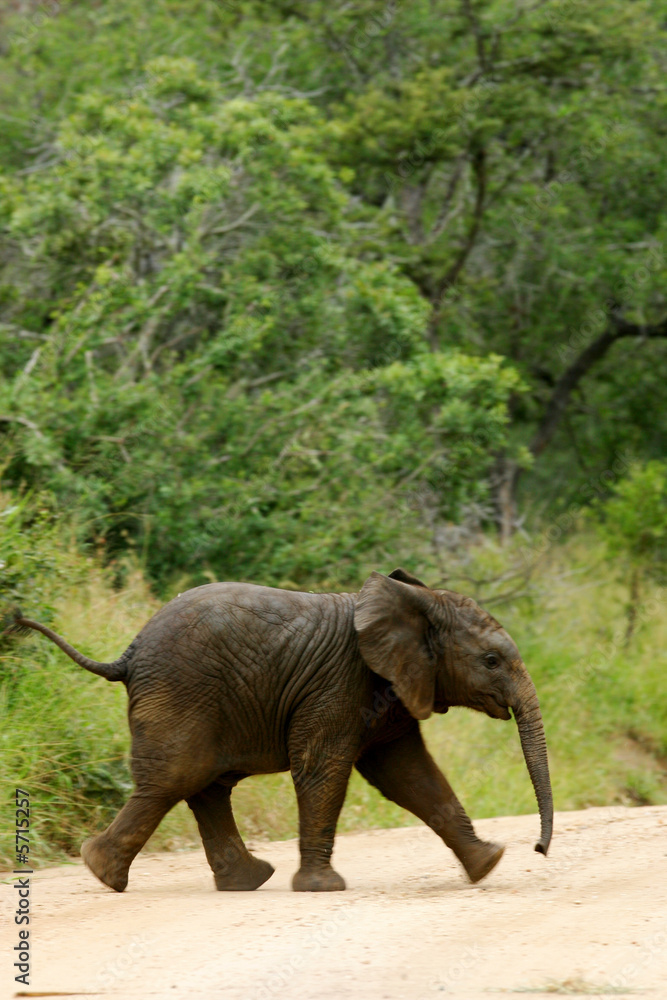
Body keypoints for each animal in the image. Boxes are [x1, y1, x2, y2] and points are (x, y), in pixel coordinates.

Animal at [6, 567, 552, 893]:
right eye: (490, 660)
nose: (539, 849)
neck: (412, 602)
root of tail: (128, 653)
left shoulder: (393, 690)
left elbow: (410, 776)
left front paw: (489, 864)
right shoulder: (340, 684)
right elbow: (323, 769)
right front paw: (323, 889)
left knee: (204, 786)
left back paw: (244, 881)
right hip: (182, 692)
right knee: (175, 778)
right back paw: (104, 873)